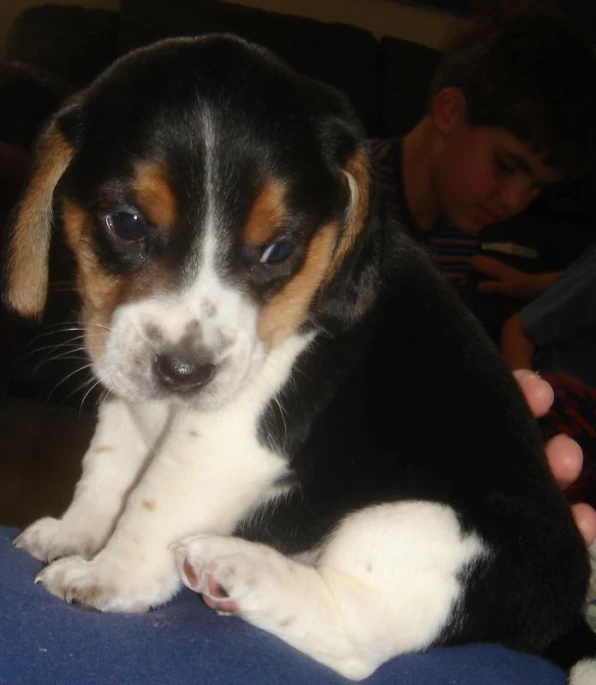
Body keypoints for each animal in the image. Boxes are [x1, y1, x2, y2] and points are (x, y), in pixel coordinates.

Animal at [5, 34, 596, 680]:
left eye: (278, 250)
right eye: (127, 223)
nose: (184, 372)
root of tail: (563, 614)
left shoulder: (225, 438)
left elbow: (152, 502)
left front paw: (108, 577)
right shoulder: (126, 392)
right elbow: (107, 472)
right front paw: (77, 532)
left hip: (424, 525)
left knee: (354, 637)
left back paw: (238, 569)